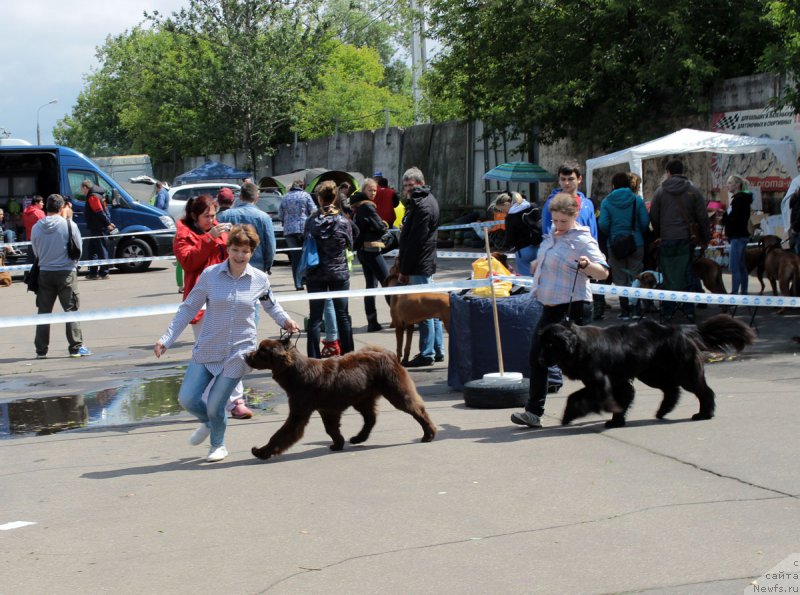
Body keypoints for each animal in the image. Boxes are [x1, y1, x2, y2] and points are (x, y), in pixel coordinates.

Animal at [245, 338, 438, 458]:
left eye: (262, 351)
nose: (246, 355)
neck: (297, 373)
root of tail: (389, 353)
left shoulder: (299, 412)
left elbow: (280, 434)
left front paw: (261, 452)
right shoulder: (327, 410)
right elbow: (331, 429)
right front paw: (338, 444)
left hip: (395, 391)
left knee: (417, 409)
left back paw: (429, 434)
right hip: (363, 397)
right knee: (371, 418)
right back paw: (358, 438)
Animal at [536, 316, 756, 428]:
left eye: (550, 345)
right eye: (542, 344)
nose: (539, 359)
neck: (580, 346)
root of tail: (680, 329)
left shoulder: (600, 383)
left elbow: (577, 397)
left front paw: (569, 416)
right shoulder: (615, 382)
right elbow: (623, 397)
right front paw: (616, 421)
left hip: (683, 371)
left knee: (703, 391)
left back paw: (704, 414)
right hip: (651, 373)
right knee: (671, 390)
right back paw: (663, 411)